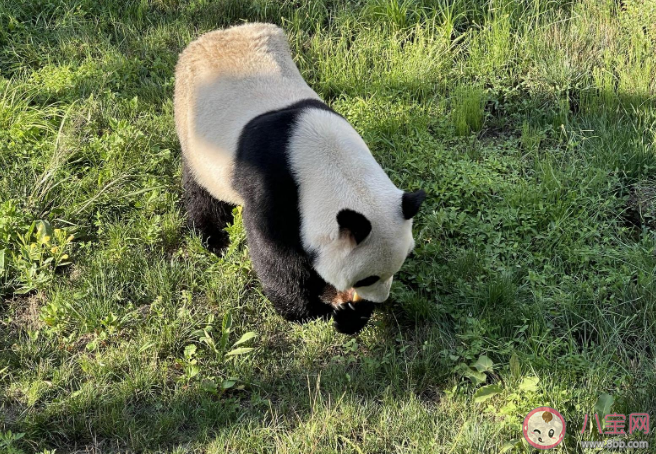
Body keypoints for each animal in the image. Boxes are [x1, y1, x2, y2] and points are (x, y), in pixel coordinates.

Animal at [174, 23, 426, 334]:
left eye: (397, 268)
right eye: (366, 279)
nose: (378, 299)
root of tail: (216, 33)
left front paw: (352, 313)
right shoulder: (273, 185)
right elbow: (276, 254)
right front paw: (311, 310)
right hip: (196, 128)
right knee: (202, 189)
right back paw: (214, 238)